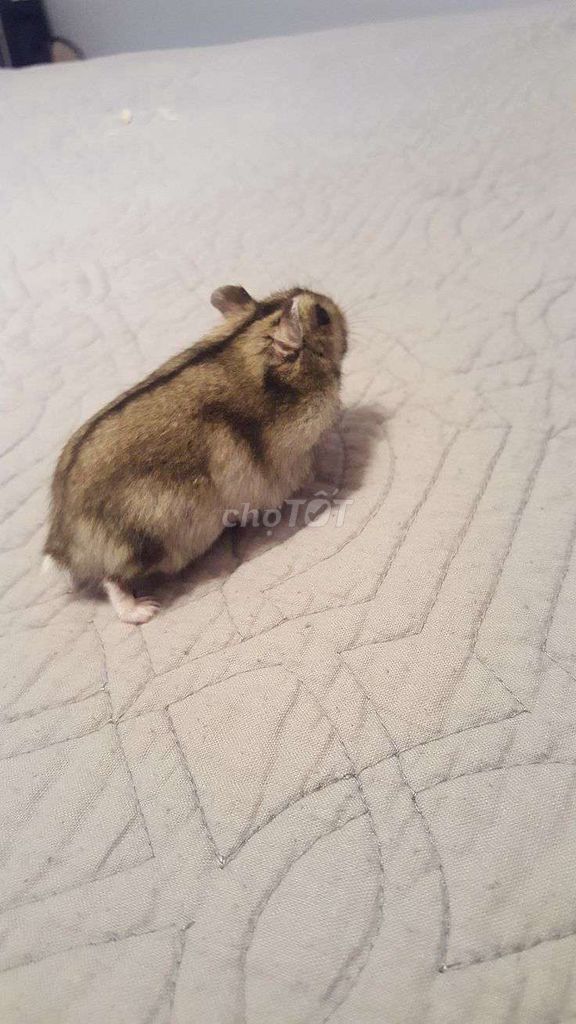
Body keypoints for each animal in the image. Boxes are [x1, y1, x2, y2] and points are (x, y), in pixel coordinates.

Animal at [44, 286, 348, 623]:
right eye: (322, 315)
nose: (338, 309)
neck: (246, 342)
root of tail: (63, 545)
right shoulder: (293, 461)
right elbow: (310, 478)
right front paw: (330, 487)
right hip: (149, 544)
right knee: (112, 580)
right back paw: (145, 609)